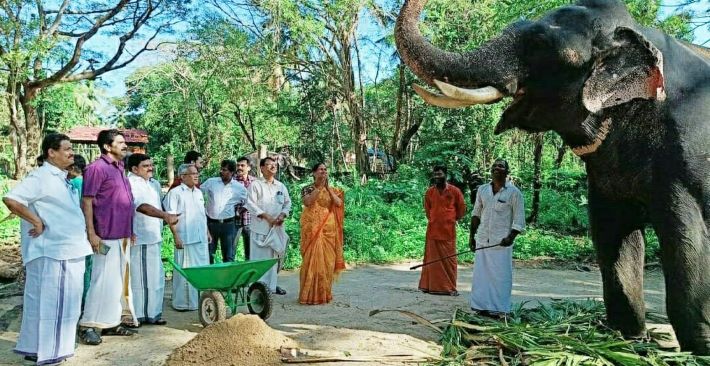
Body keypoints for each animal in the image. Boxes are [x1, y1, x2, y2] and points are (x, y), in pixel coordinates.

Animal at [398, 0, 708, 354]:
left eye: (541, 45)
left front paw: (697, 353)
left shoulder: (685, 158)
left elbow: (685, 236)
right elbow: (612, 235)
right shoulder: (605, 175)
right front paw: (628, 344)